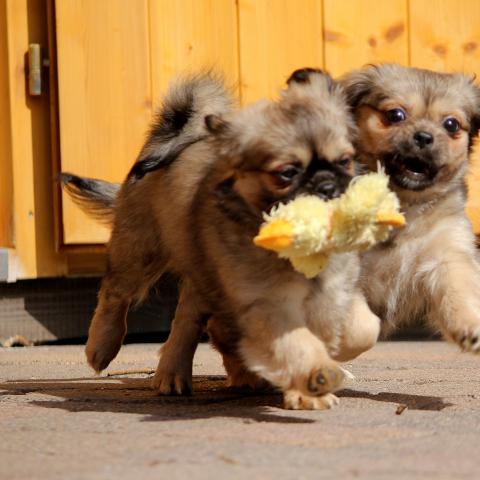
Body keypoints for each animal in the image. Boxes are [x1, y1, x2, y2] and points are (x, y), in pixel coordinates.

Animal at [62, 70, 382, 408]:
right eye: (286, 173)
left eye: (345, 161)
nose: (327, 185)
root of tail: (180, 136)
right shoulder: (267, 305)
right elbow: (297, 344)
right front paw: (315, 379)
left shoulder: (335, 292)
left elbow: (361, 329)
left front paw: (316, 375)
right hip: (141, 249)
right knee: (116, 292)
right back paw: (103, 347)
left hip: (199, 270)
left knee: (190, 318)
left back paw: (184, 374)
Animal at [342, 63, 480, 348]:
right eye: (396, 115)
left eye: (451, 124)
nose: (424, 137)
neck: (403, 206)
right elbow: (361, 328)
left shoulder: (447, 254)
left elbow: (460, 289)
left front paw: (470, 324)